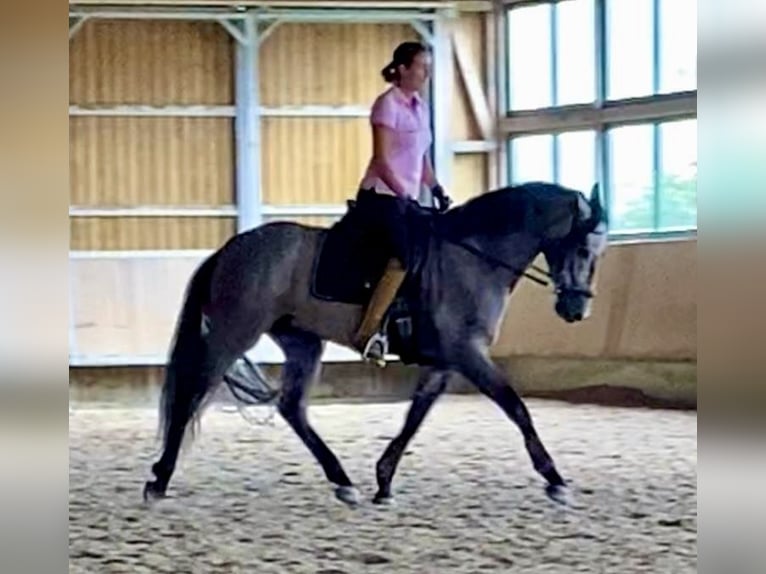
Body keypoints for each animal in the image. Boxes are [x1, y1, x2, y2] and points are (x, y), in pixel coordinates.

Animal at [143, 181, 609, 507]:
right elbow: (516, 407)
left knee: (292, 407)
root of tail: (229, 249)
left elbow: (416, 415)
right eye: (582, 248)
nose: (577, 309)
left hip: (302, 341)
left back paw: (343, 481)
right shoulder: (468, 353)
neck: (474, 257)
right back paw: (159, 479)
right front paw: (555, 479)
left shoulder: (447, 360)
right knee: (192, 394)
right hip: (235, 331)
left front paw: (384, 480)